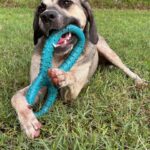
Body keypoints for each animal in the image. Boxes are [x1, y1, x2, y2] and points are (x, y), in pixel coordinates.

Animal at [10, 0, 145, 139]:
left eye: (66, 2)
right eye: (41, 8)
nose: (46, 16)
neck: (59, 57)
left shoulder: (71, 95)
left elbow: (73, 79)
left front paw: (62, 75)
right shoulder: (38, 85)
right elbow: (15, 97)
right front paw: (28, 121)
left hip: (107, 51)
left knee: (125, 68)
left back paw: (139, 81)